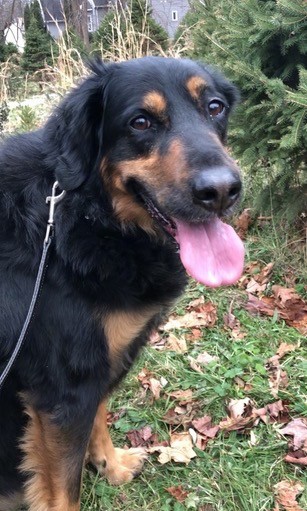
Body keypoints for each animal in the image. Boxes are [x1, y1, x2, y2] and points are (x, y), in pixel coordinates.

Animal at [0, 57, 245, 511]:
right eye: (140, 122)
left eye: (215, 107)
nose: (222, 191)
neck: (81, 215)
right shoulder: (64, 389)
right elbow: (64, 489)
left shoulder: (100, 364)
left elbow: (99, 418)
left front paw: (110, 467)